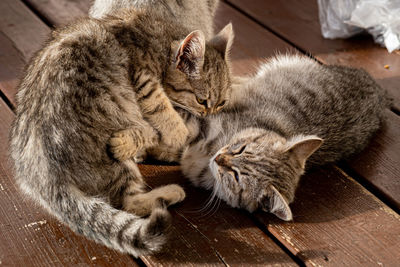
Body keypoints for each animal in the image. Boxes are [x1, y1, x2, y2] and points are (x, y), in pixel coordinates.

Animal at [9, 2, 233, 258]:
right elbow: (161, 109)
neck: (162, 37)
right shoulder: (142, 77)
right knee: (129, 203)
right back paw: (169, 192)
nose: (209, 116)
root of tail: (43, 178)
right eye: (201, 100)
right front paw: (177, 132)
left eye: (222, 103)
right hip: (115, 158)